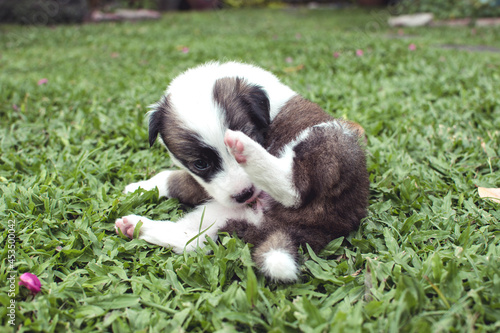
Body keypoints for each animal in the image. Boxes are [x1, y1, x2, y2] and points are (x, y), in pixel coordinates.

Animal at [115, 61, 370, 282]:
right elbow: (176, 179)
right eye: (200, 163)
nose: (245, 195)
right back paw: (135, 226)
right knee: (190, 240)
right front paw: (139, 187)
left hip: (330, 142)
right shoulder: (210, 185)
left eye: (253, 132)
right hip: (228, 217)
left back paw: (244, 148)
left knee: (295, 189)